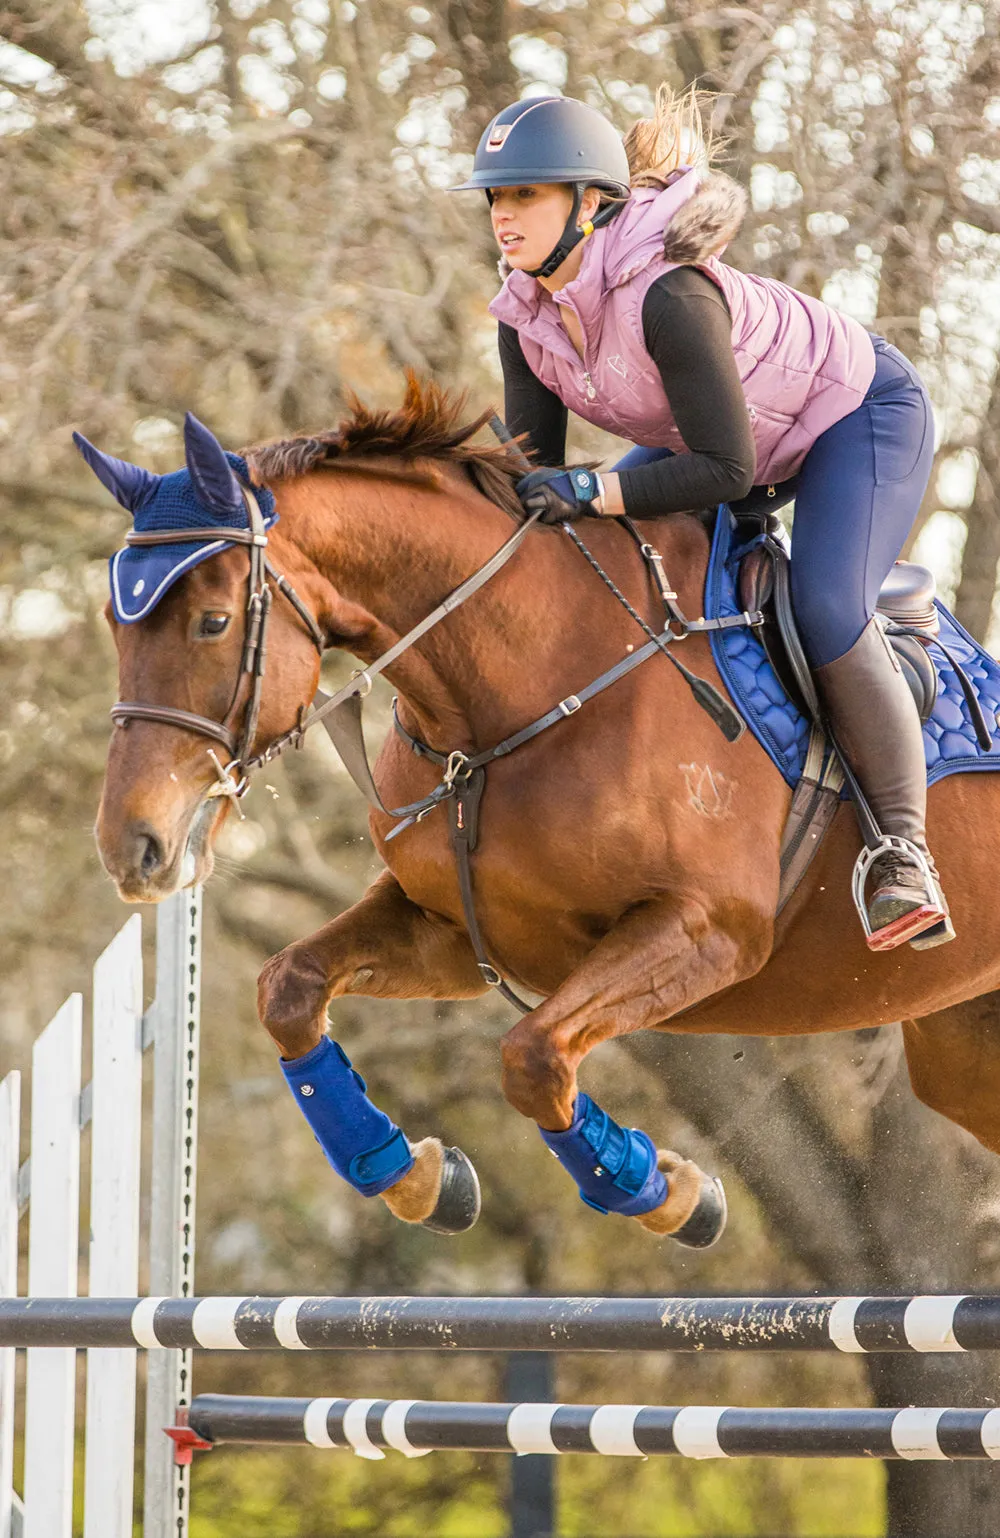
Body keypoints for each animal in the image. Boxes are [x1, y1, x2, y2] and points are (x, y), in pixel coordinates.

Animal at [95, 381, 1000, 1236]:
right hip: (962, 1052)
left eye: (213, 621)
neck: (510, 696)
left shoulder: (711, 929)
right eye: (114, 621)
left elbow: (534, 1057)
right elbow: (288, 988)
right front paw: (417, 1178)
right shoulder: (460, 933)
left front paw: (668, 1192)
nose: (129, 848)